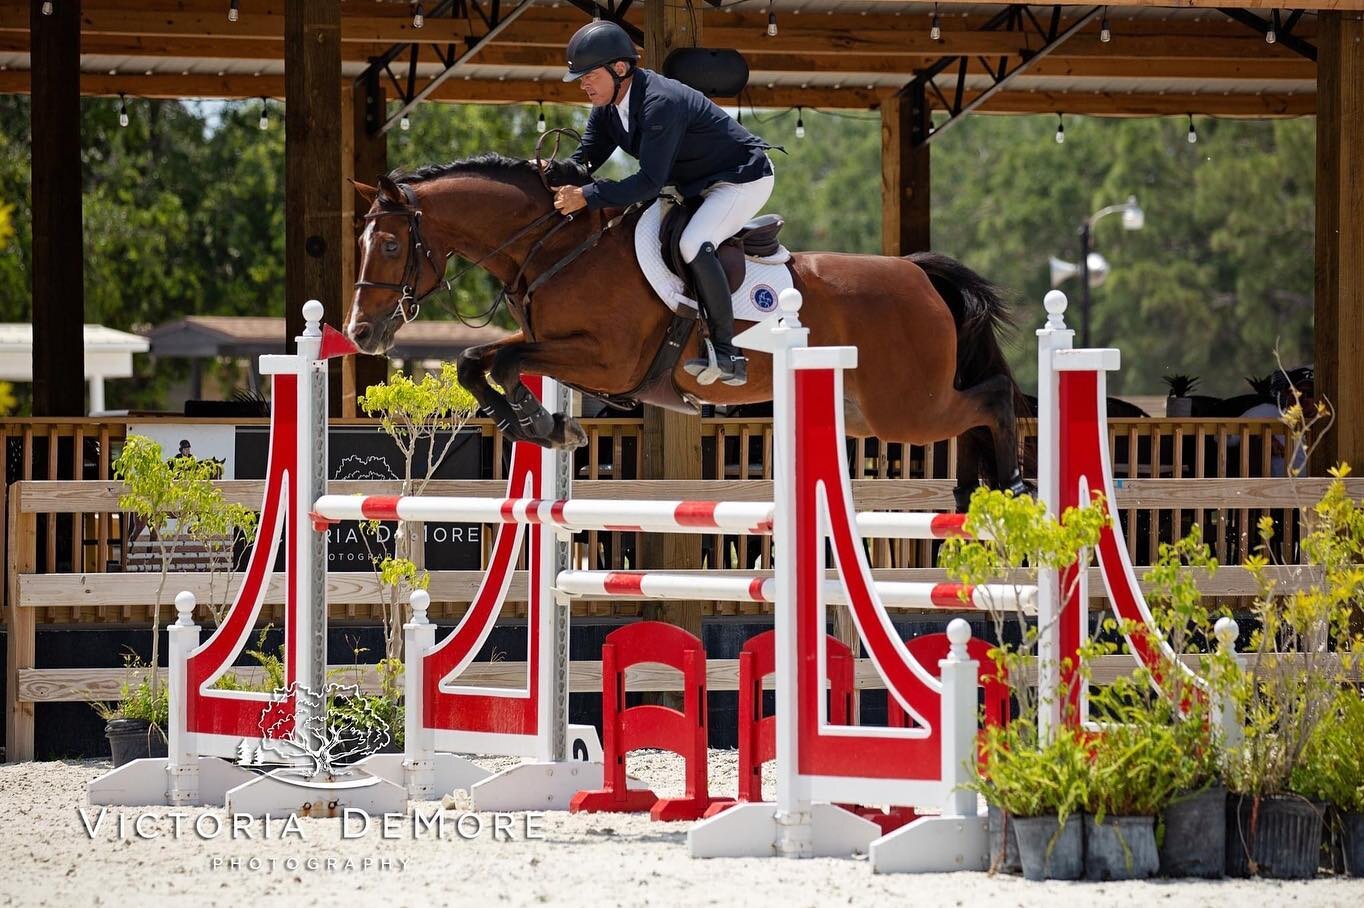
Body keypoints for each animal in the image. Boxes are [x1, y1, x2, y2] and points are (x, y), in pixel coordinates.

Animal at [349, 154, 1025, 501]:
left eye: (389, 244)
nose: (359, 334)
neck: (560, 247)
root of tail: (919, 276)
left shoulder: (608, 361)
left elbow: (508, 363)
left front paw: (544, 424)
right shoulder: (556, 344)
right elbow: (476, 359)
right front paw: (542, 426)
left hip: (905, 408)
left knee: (993, 399)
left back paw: (1012, 486)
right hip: (870, 412)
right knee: (975, 412)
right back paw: (975, 493)